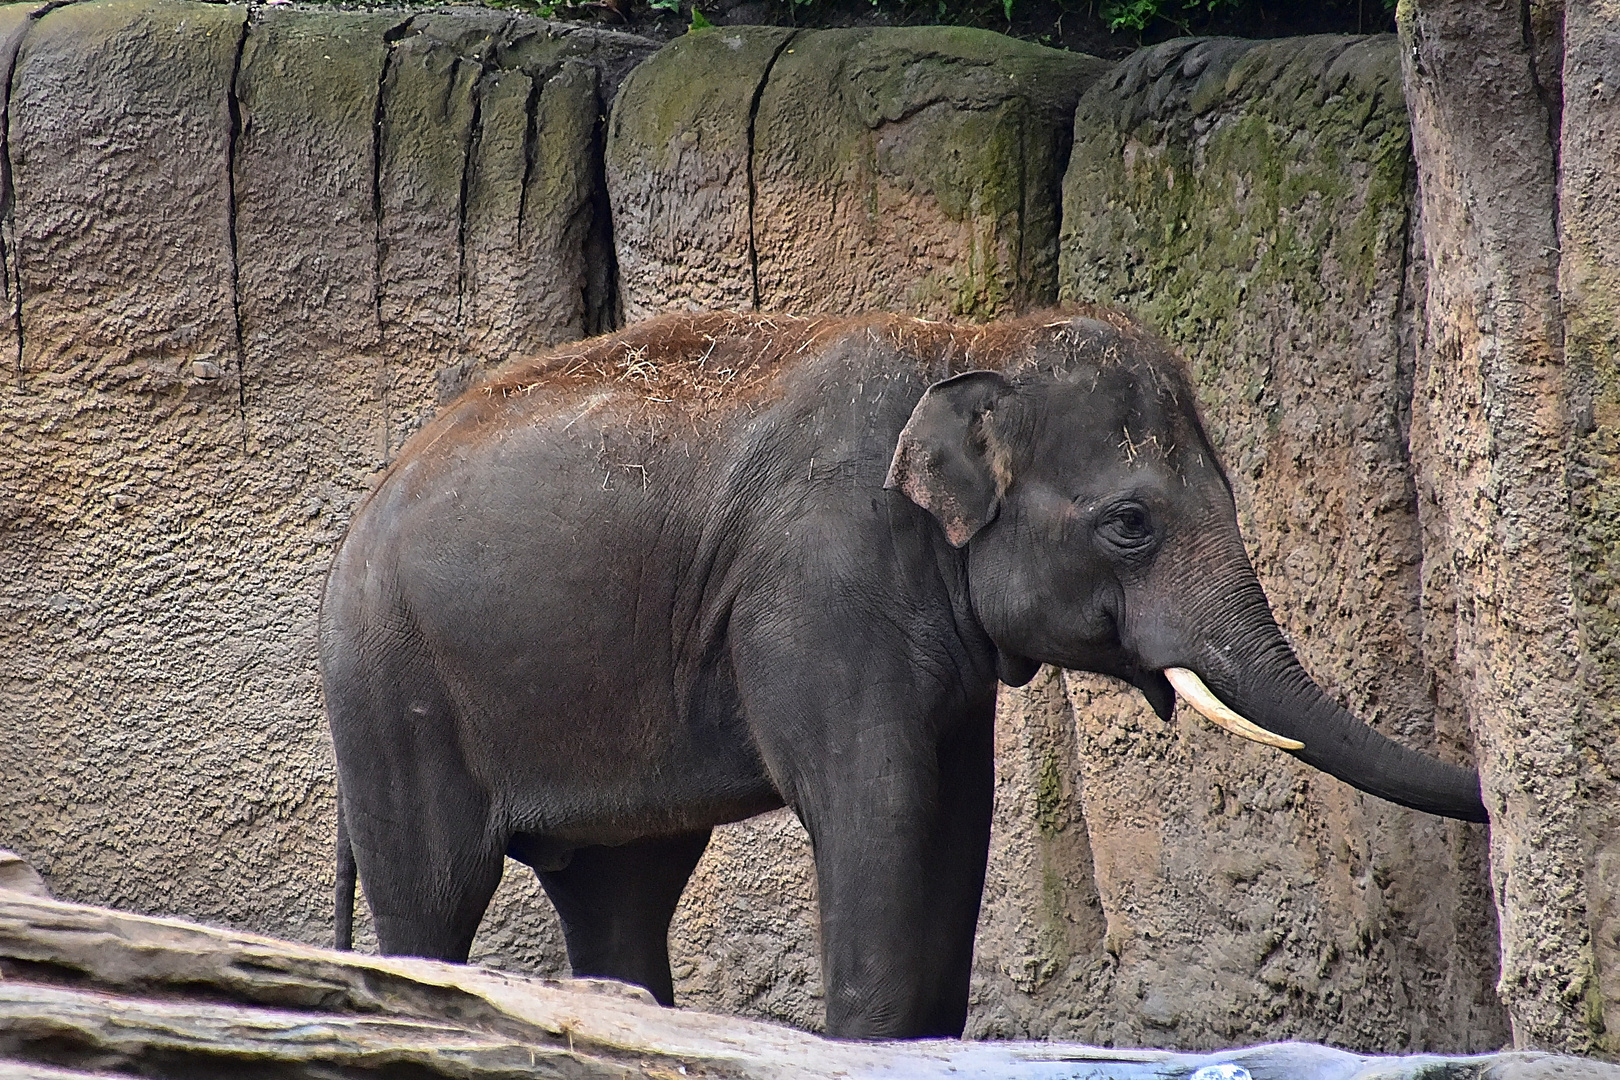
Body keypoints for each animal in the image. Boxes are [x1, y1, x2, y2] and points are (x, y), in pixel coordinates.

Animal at [322, 307, 1483, 1042]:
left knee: (623, 891)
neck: (968, 342)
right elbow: (877, 804)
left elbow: (958, 821)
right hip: (389, 687)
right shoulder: (819, 582)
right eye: (1131, 523)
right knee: (434, 890)